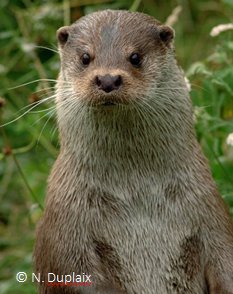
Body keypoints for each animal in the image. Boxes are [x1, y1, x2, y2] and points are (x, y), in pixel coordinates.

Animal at [34, 9, 233, 294]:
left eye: (135, 57)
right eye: (85, 57)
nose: (107, 79)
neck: (137, 197)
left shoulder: (211, 216)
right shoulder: (66, 235)